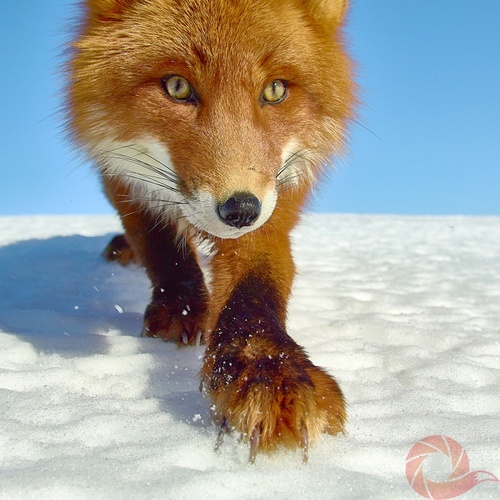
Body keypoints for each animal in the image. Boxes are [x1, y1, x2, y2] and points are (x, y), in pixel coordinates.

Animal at [68, 0, 356, 460]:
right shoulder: (122, 176)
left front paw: (267, 366)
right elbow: (162, 247)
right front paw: (181, 309)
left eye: (275, 90)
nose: (239, 209)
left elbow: (256, 290)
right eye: (177, 86)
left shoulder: (275, 201)